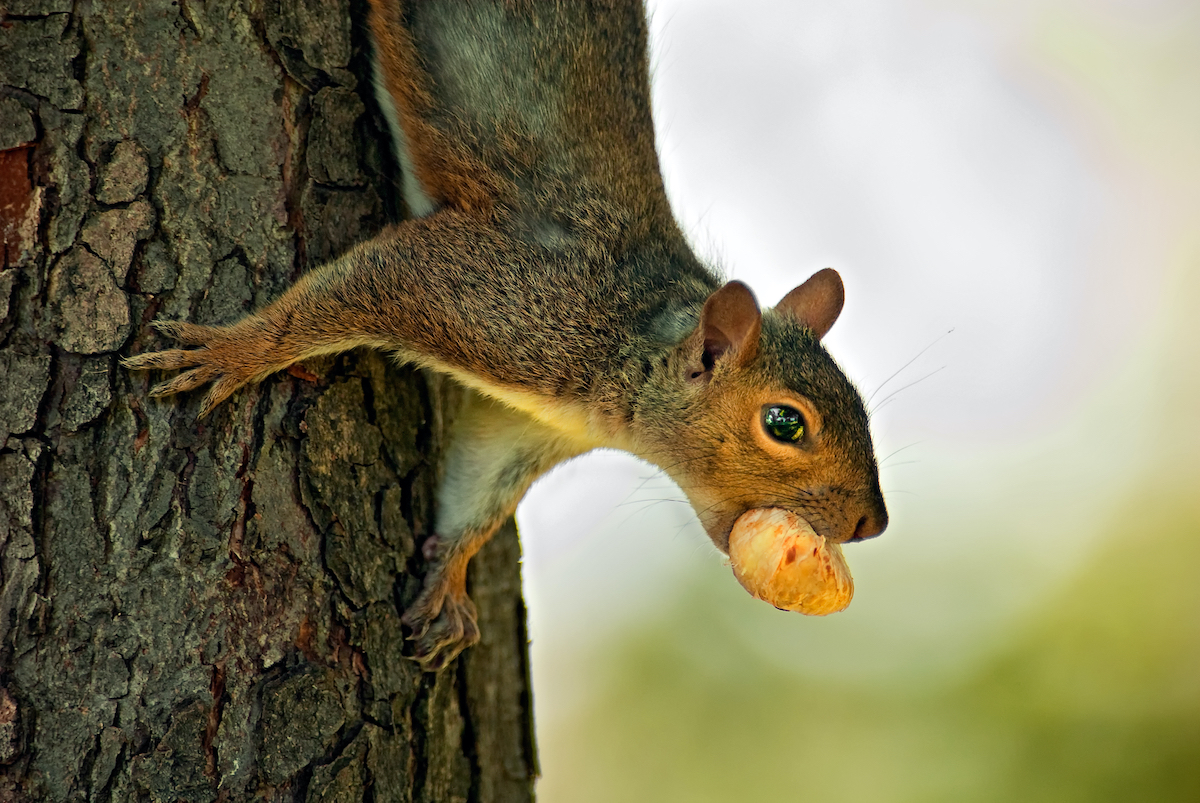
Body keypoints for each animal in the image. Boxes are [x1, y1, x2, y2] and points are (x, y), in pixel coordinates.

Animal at [124, 0, 892, 672]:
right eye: (784, 423)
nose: (872, 524)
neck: (622, 342)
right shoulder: (485, 296)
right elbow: (355, 287)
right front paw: (232, 351)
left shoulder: (525, 427)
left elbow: (477, 490)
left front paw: (451, 583)